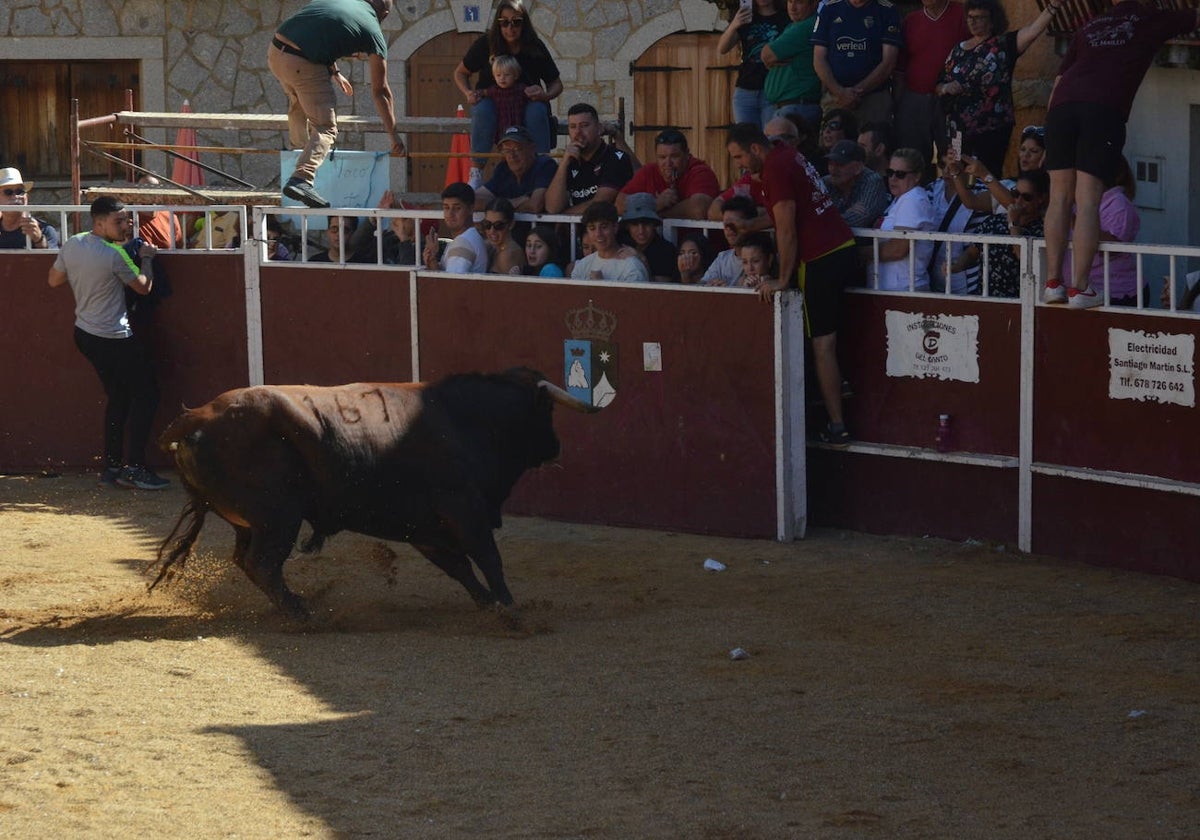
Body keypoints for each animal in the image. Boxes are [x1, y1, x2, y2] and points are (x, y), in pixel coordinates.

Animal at [152, 367, 597, 619]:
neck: (465, 418)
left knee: (247, 561)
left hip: (251, 521)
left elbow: (459, 567)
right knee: (262, 564)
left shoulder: (425, 529)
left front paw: (488, 604)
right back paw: (302, 613)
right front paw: (508, 607)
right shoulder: (464, 507)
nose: (556, 446)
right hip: (278, 517)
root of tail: (197, 418)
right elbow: (488, 558)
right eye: (546, 410)